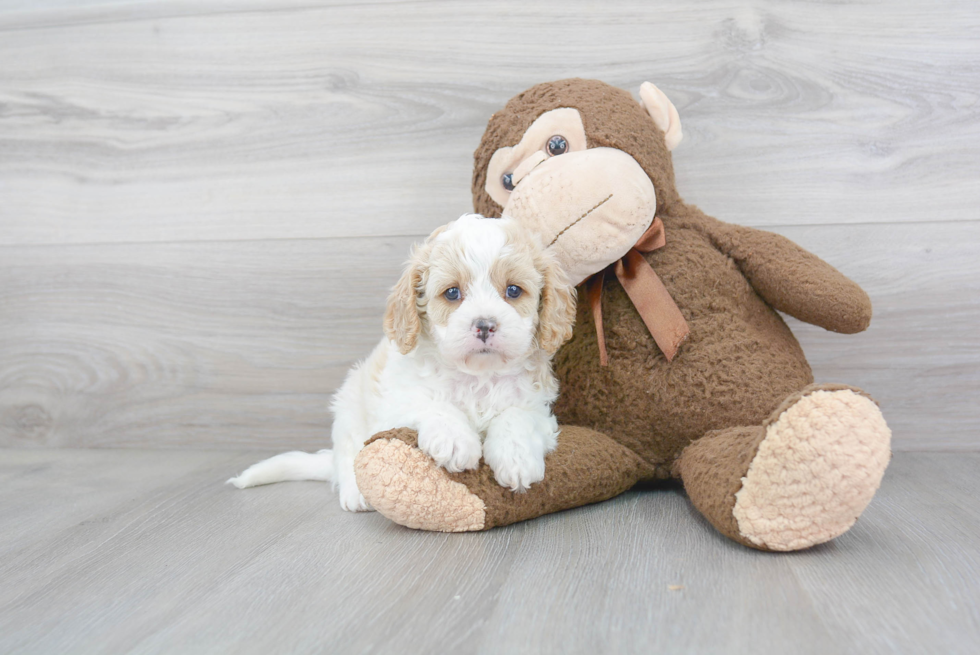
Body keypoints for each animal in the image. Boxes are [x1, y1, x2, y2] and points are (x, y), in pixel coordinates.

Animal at [228, 215, 580, 512]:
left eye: (513, 290)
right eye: (452, 293)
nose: (484, 325)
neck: (476, 376)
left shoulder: (537, 407)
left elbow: (516, 416)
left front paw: (516, 458)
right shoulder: (395, 401)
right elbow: (431, 404)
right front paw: (456, 440)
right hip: (348, 409)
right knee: (347, 455)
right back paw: (355, 493)